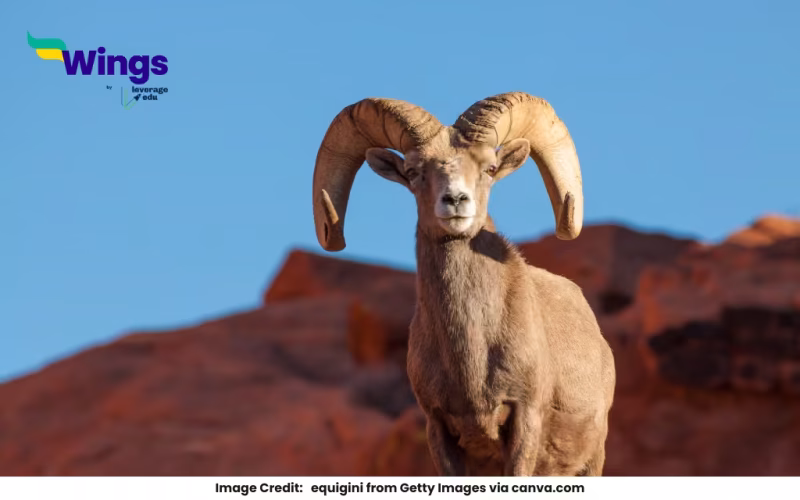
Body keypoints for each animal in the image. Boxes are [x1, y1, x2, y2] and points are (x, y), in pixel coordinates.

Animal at [310, 92, 616, 476]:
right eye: (413, 172)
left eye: (489, 168)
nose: (455, 201)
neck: (472, 354)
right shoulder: (439, 430)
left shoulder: (524, 420)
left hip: (591, 462)